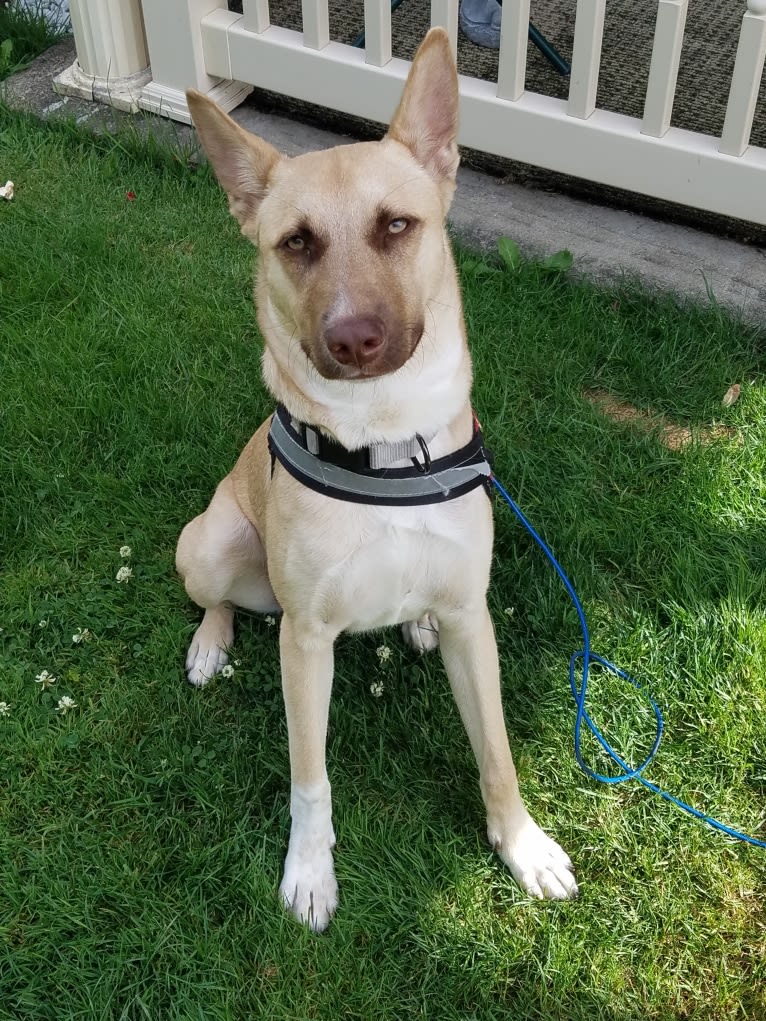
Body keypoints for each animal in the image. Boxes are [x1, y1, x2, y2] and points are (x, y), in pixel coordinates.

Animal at [176, 27, 580, 931]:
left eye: (397, 224)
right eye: (296, 241)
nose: (354, 338)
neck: (388, 442)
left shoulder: (473, 620)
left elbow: (498, 752)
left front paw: (521, 844)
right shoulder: (304, 642)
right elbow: (310, 780)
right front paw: (309, 871)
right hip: (209, 545)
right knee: (219, 597)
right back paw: (211, 642)